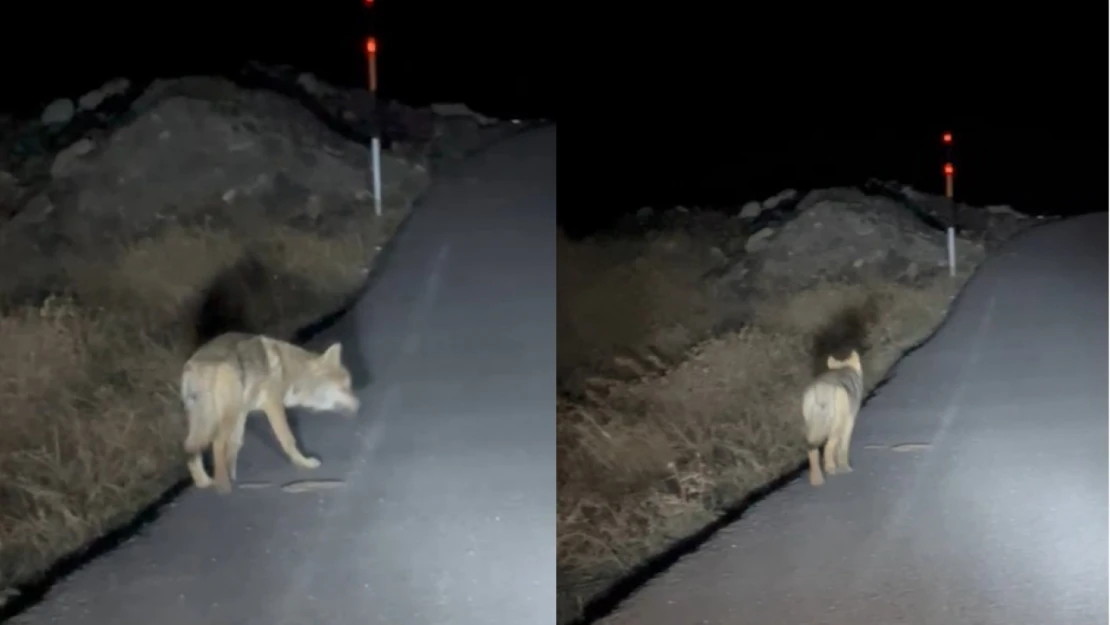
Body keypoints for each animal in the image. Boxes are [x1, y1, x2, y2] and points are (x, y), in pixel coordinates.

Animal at [179, 333, 357, 495]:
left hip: (210, 421)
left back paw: (205, 482)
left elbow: (235, 445)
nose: (358, 405)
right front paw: (304, 463)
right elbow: (288, 439)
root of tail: (197, 366)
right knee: (216, 444)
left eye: (349, 386)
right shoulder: (273, 405)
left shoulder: (243, 413)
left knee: (190, 450)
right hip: (225, 416)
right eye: (343, 388)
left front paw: (234, 477)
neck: (291, 373)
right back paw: (223, 486)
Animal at [803, 350, 861, 486]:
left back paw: (817, 480)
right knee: (828, 447)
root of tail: (821, 389)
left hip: (811, 429)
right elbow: (843, 448)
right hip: (836, 426)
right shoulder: (849, 422)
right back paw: (830, 469)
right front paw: (845, 468)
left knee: (812, 450)